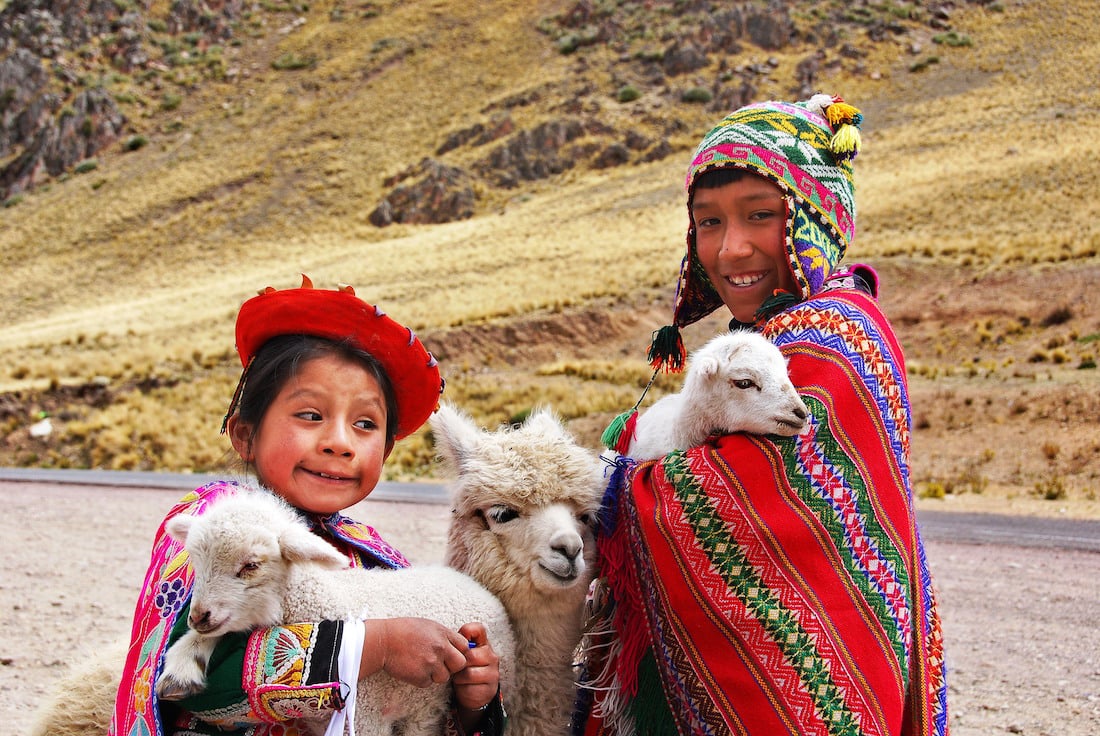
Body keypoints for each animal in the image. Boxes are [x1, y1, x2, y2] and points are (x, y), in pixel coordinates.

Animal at [160, 481, 519, 734]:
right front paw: (182, 665)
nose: (198, 617)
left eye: (251, 565)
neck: (327, 599)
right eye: (196, 560)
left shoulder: (365, 714)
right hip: (425, 704)